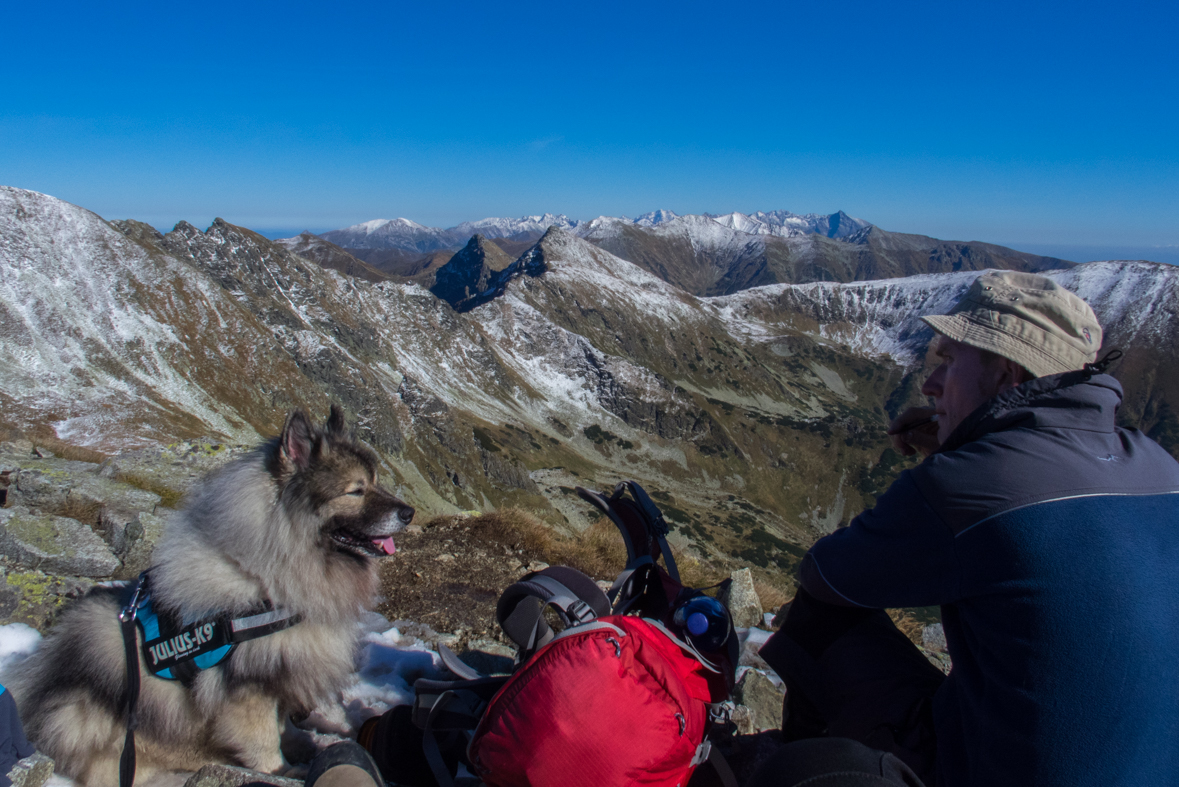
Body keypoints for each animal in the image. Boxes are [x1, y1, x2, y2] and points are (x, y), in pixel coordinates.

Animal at [5, 405, 415, 787]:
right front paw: (281, 769)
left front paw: (301, 744)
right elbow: (262, 737)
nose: (409, 512)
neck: (264, 576)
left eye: (376, 481)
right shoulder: (247, 684)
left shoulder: (278, 670)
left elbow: (282, 723)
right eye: (355, 490)